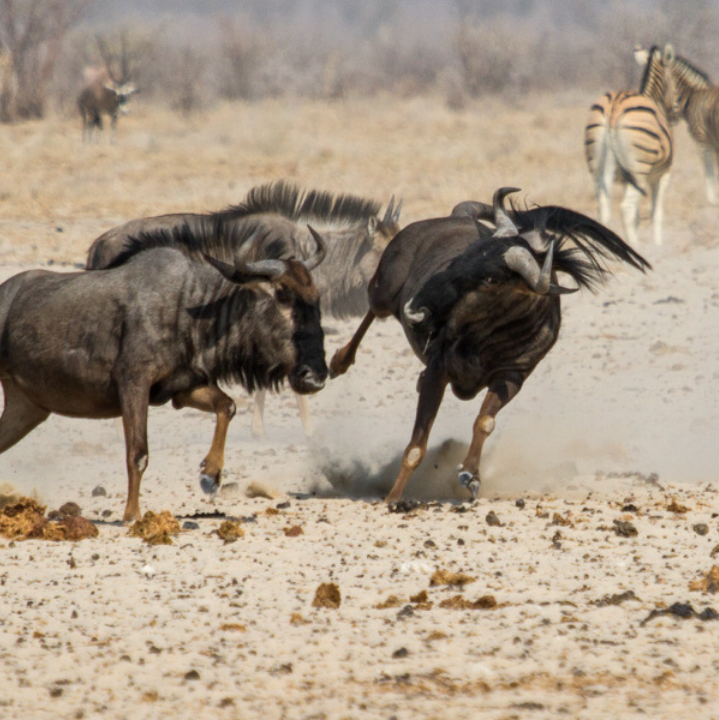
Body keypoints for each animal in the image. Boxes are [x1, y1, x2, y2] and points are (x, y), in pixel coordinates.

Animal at [584, 45, 680, 248]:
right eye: (675, 83)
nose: (675, 114)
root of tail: (613, 109)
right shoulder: (661, 175)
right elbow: (656, 212)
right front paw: (658, 246)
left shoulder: (627, 180)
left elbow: (638, 217)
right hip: (640, 169)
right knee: (626, 208)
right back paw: (635, 247)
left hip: (597, 168)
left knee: (603, 208)